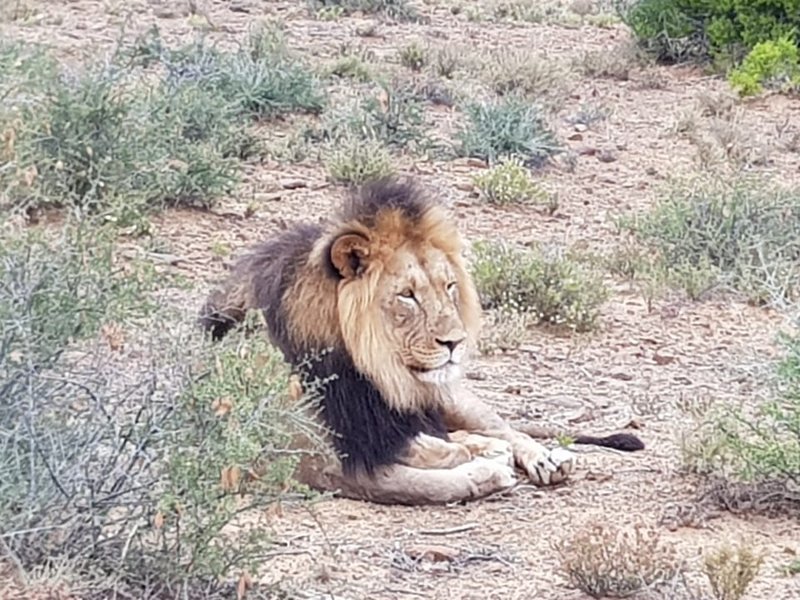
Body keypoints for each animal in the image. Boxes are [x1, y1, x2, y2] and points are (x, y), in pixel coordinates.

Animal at [198, 177, 643, 505]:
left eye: (449, 287)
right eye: (407, 295)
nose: (455, 343)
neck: (366, 374)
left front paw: (486, 458)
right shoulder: (321, 460)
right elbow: (429, 482)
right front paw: (483, 469)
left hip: (451, 396)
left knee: (505, 428)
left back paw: (544, 458)